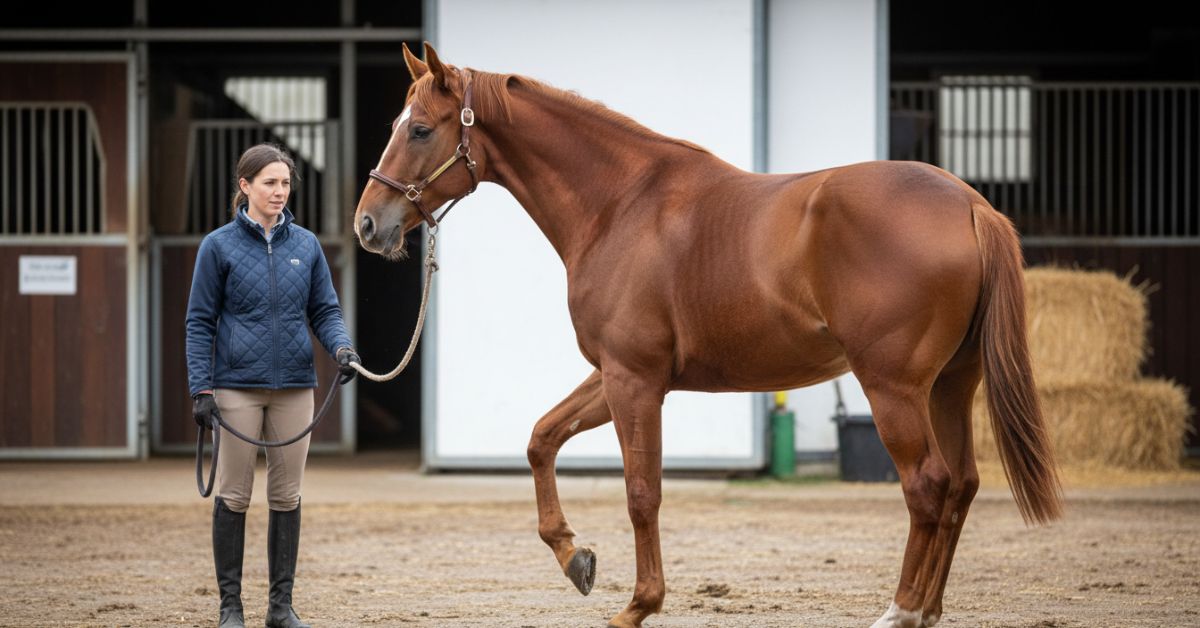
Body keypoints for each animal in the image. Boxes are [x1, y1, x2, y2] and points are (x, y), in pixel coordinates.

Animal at [353, 42, 1062, 628]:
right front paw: (574, 555)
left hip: (894, 388)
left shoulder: (635, 381)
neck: (620, 204)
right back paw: (930, 608)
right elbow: (541, 439)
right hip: (948, 386)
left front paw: (638, 605)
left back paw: (902, 610)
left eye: (420, 128)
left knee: (928, 485)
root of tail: (969, 203)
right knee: (962, 484)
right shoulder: (616, 374)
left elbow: (642, 493)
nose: (368, 224)